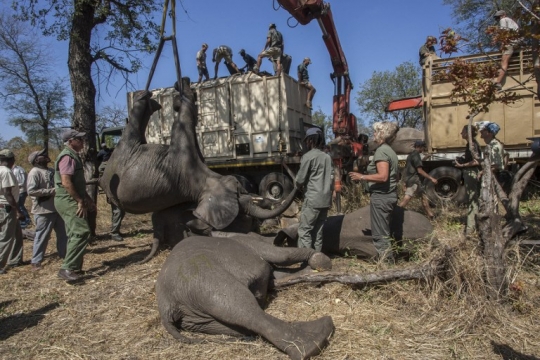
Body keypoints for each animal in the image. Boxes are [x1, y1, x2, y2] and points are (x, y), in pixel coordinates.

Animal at [100, 77, 296, 235]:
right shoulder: (183, 156)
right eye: (240, 194)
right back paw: (146, 97)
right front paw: (183, 90)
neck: (207, 179)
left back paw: (149, 100)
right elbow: (185, 118)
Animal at [154, 233, 336, 360]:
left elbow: (278, 275)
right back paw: (316, 339)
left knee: (238, 325)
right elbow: (283, 256)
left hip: (194, 317)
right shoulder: (251, 243)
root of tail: (166, 307)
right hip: (202, 281)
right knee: (243, 308)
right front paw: (321, 262)